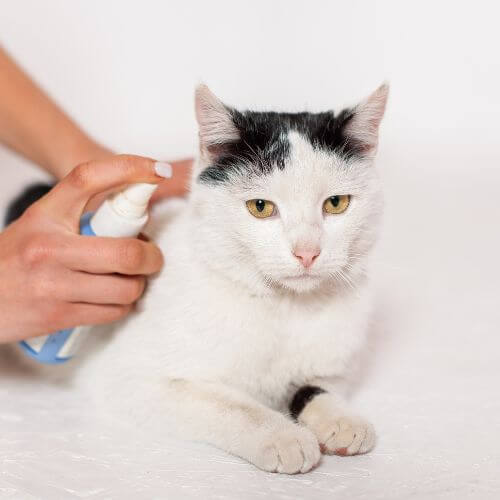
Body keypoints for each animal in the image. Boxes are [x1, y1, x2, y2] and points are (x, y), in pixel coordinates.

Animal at [11, 84, 388, 474]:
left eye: (336, 203)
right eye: (261, 207)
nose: (307, 252)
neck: (284, 308)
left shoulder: (336, 370)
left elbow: (316, 387)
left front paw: (341, 420)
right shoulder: (131, 379)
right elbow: (228, 405)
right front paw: (282, 436)